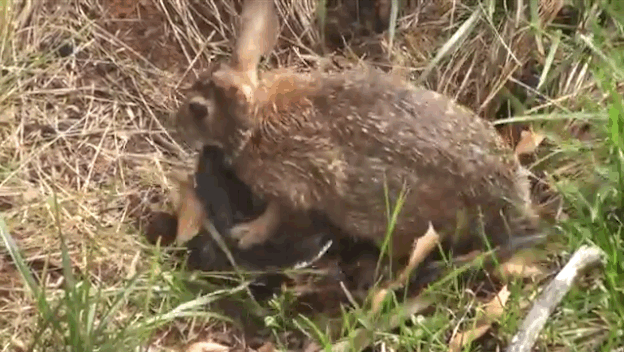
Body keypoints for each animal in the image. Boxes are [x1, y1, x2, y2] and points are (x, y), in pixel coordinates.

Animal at [173, 0, 544, 264]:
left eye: (198, 110)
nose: (177, 126)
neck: (255, 120)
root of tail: (515, 201)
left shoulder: (292, 181)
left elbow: (277, 213)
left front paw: (247, 234)